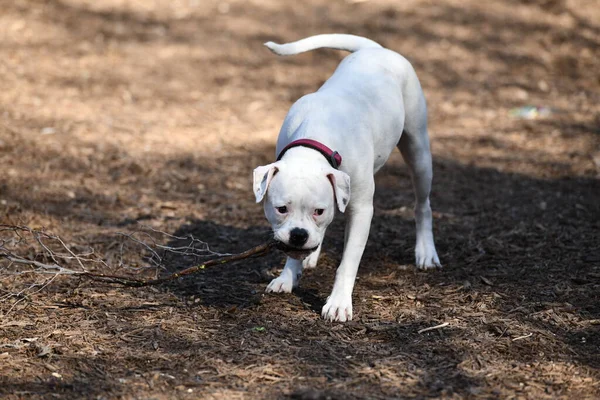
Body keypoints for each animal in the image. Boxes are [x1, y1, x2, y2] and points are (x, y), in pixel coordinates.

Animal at [253, 33, 440, 322]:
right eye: (281, 209)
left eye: (319, 210)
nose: (299, 235)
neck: (318, 136)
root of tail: (375, 49)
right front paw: (288, 276)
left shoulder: (361, 210)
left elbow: (348, 262)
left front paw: (338, 303)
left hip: (418, 152)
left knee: (423, 206)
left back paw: (426, 252)